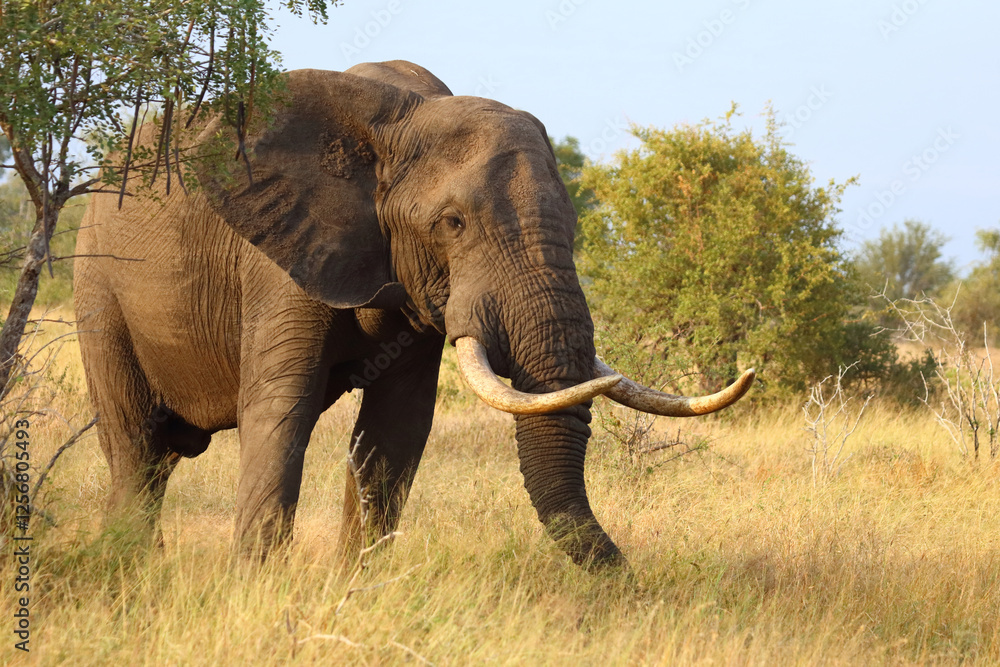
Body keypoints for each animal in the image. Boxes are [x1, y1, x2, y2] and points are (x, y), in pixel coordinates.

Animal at [73, 60, 754, 569]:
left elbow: (395, 431)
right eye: (452, 223)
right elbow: (280, 412)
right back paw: (126, 573)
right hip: (97, 286)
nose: (630, 582)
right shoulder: (278, 260)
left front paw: (353, 591)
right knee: (135, 451)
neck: (401, 120)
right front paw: (254, 592)